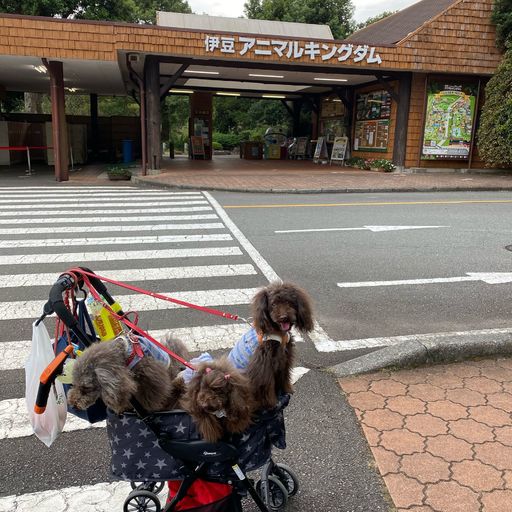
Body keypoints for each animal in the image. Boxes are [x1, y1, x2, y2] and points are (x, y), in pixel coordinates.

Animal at [246, 282, 314, 410]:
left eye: (289, 302)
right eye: (273, 304)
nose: (283, 317)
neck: (278, 333)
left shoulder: (284, 360)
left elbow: (285, 376)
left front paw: (287, 390)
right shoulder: (264, 366)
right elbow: (268, 385)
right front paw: (272, 402)